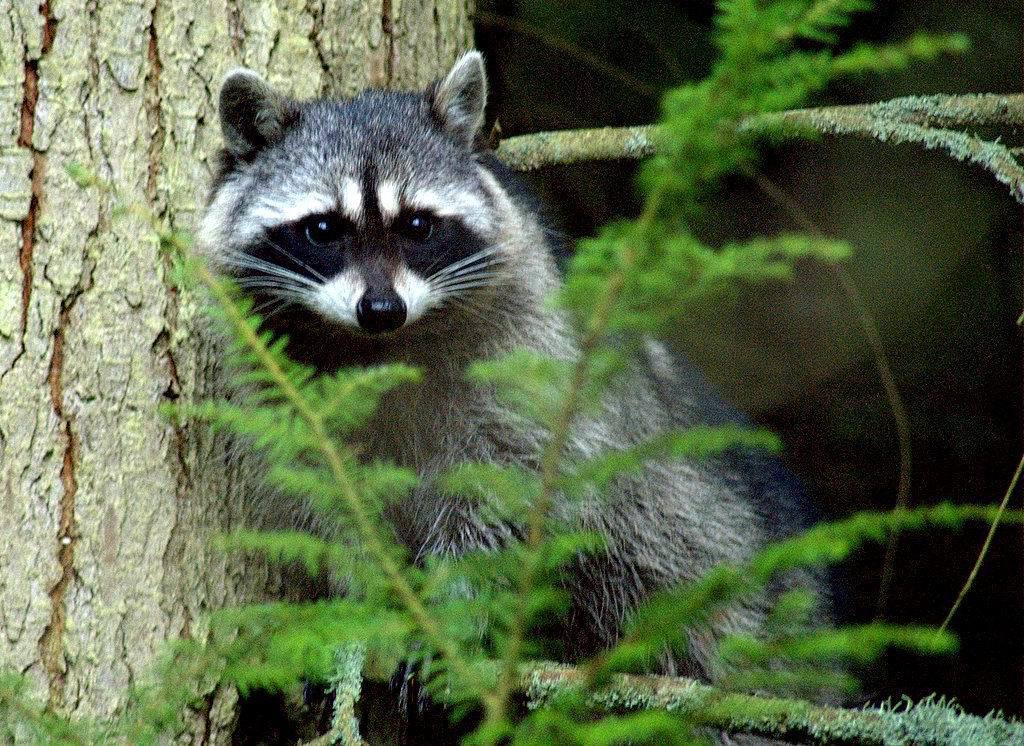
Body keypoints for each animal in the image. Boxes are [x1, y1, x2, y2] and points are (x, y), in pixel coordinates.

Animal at [199, 51, 826, 688]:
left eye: (418, 225)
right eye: (324, 228)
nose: (381, 309)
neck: (379, 350)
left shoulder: (528, 361)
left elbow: (505, 495)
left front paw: (454, 612)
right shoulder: (284, 391)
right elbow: (329, 499)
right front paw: (365, 599)